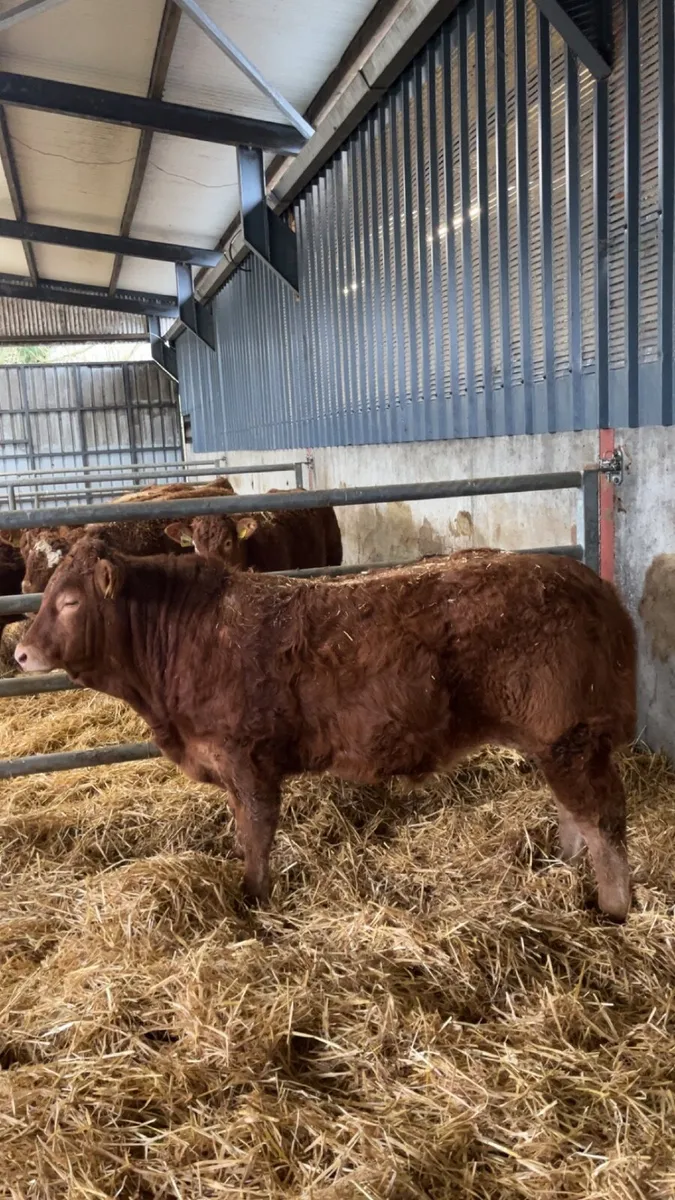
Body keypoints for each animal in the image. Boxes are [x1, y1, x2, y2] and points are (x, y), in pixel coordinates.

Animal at [15, 541, 636, 921]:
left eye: (69, 601)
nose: (20, 652)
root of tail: (586, 580)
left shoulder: (247, 758)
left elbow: (256, 835)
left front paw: (254, 901)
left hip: (569, 732)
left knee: (603, 817)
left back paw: (614, 908)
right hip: (556, 740)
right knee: (576, 812)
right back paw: (563, 869)